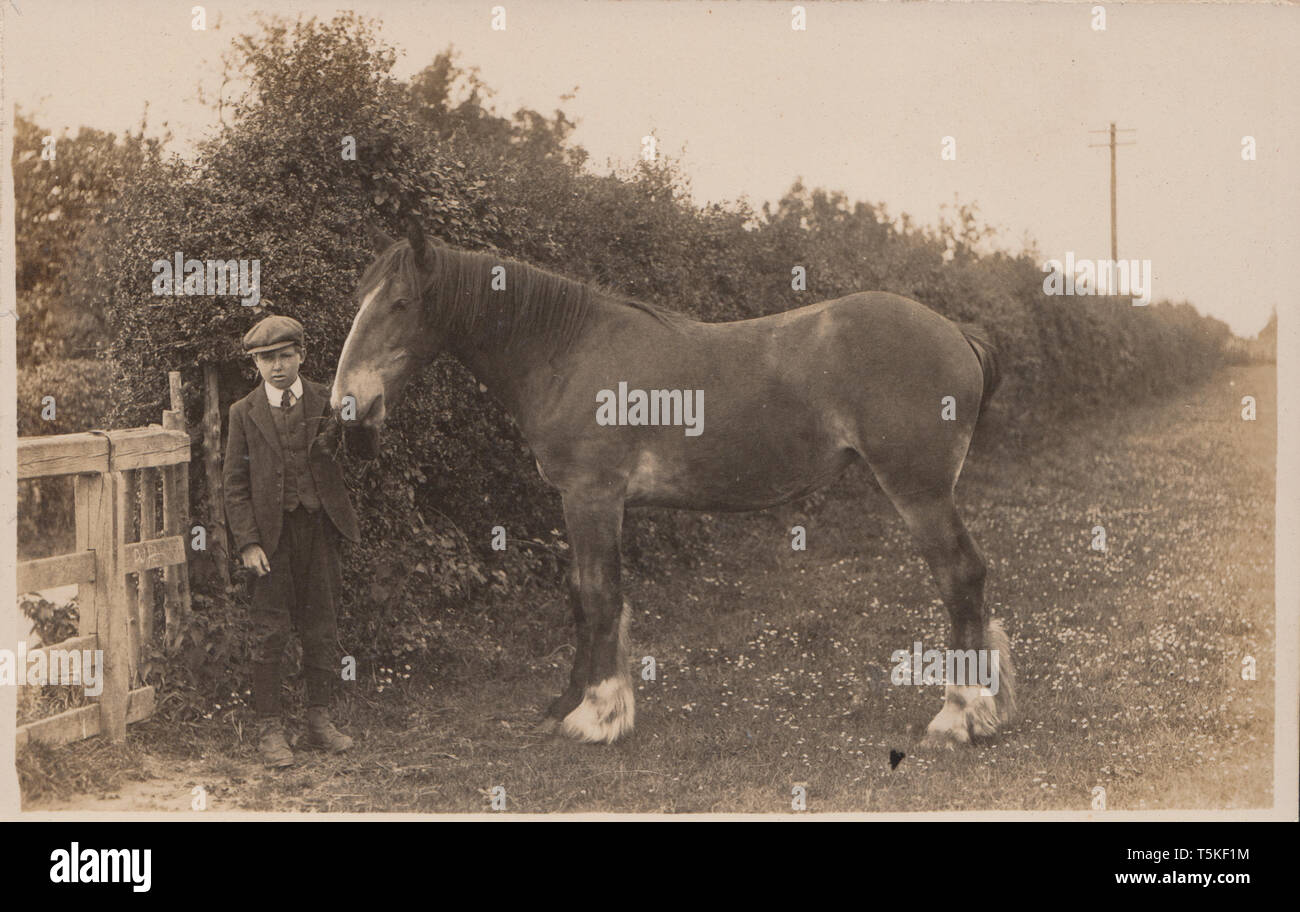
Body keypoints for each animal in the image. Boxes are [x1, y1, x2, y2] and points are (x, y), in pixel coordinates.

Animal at [327, 220, 1013, 748]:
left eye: (401, 304)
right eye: (360, 297)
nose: (347, 403)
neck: (565, 349)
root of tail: (958, 333)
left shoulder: (594, 497)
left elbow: (600, 596)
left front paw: (599, 716)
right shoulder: (581, 502)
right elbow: (579, 596)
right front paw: (566, 704)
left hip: (919, 493)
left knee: (961, 577)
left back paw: (957, 716)